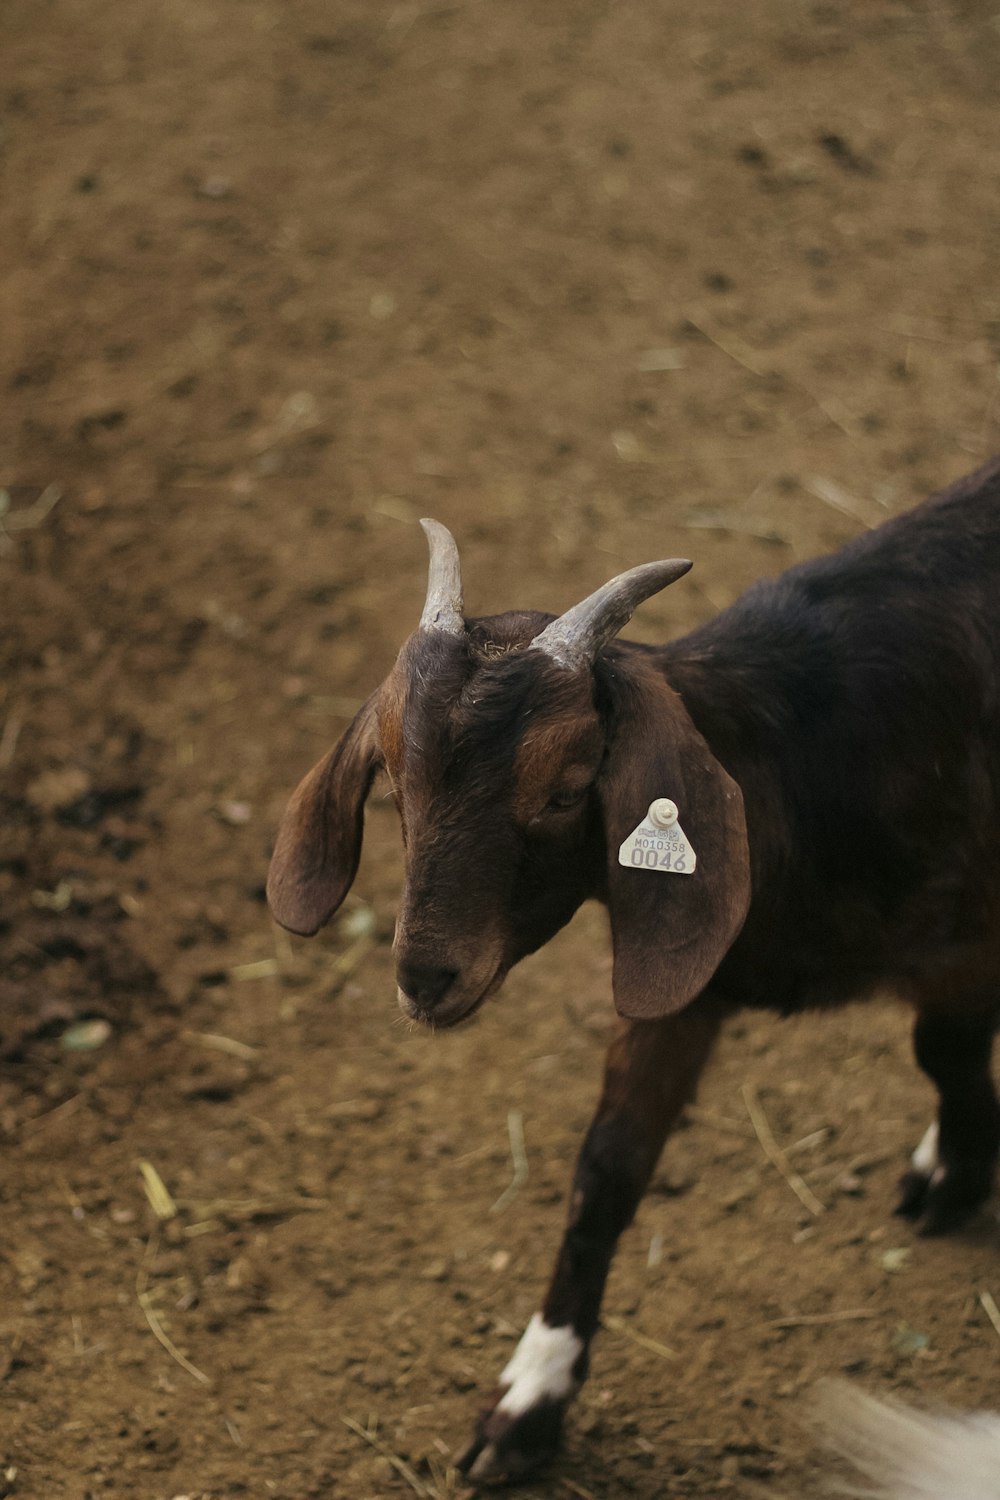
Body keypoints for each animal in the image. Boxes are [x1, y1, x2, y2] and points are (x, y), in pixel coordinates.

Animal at [265, 459, 1000, 1488]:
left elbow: (945, 1048)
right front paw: (530, 1399)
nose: (423, 977)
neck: (802, 766)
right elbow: (606, 1171)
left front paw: (960, 1172)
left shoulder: (971, 941)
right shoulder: (682, 988)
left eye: (568, 788)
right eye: (396, 783)